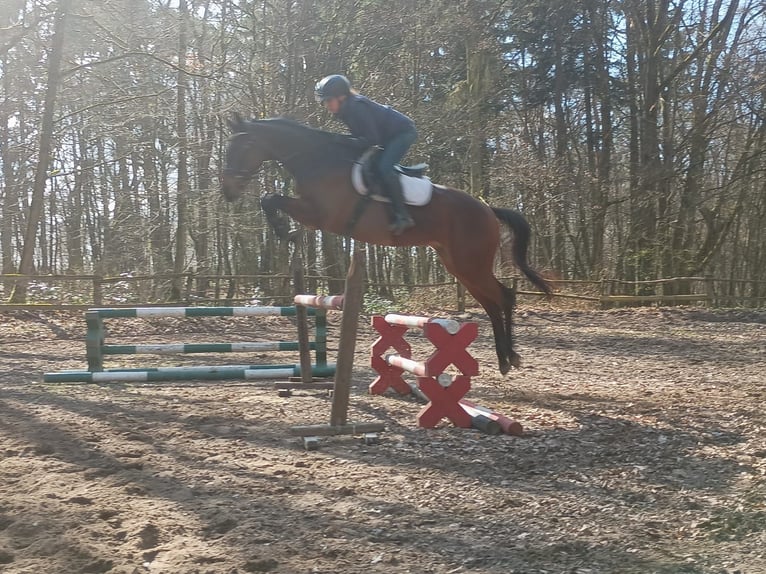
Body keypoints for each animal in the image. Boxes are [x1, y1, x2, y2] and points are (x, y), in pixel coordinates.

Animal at [220, 114, 552, 375]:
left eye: (242, 147)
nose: (227, 192)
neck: (319, 160)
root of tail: (487, 208)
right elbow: (269, 198)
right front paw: (285, 232)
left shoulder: (318, 216)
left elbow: (271, 198)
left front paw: (283, 231)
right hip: (459, 265)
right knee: (491, 303)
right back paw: (504, 358)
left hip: (471, 263)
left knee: (504, 297)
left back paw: (510, 356)